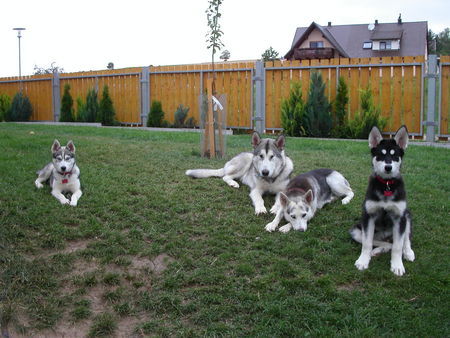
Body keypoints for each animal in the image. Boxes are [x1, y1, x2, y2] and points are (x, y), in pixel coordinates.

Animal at [352, 125, 414, 276]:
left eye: (394, 155)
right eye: (380, 154)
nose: (388, 167)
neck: (386, 185)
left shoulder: (399, 217)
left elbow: (398, 246)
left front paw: (397, 265)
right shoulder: (368, 216)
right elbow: (367, 243)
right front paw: (363, 260)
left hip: (407, 215)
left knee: (405, 239)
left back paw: (408, 252)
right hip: (356, 231)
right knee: (381, 242)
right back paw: (378, 250)